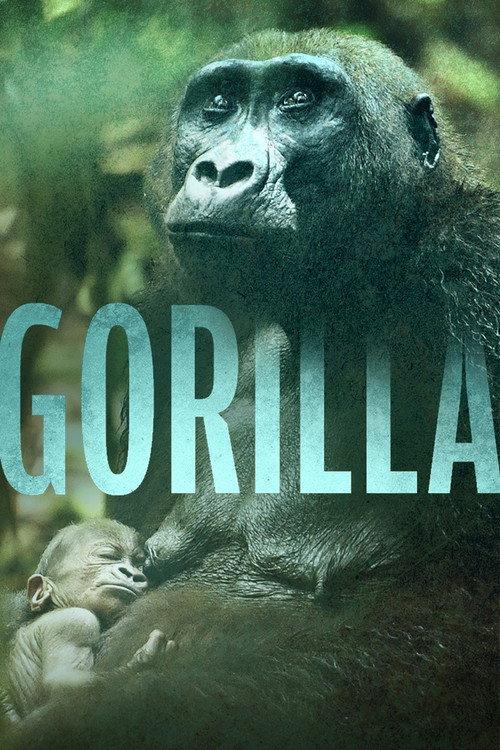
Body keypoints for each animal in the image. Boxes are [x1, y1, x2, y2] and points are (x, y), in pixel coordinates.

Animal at [3, 519, 167, 723]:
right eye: (107, 556)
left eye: (139, 565)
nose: (132, 574)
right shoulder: (76, 622)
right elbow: (65, 685)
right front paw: (142, 662)